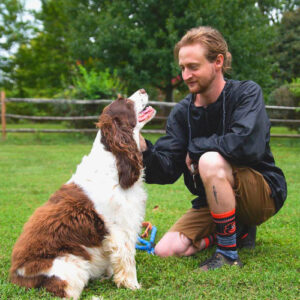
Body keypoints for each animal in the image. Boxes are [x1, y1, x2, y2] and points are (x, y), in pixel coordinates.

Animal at [9, 89, 156, 300]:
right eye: (126, 102)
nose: (143, 90)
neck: (114, 161)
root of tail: (17, 276)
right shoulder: (121, 229)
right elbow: (128, 262)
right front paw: (134, 287)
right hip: (70, 264)